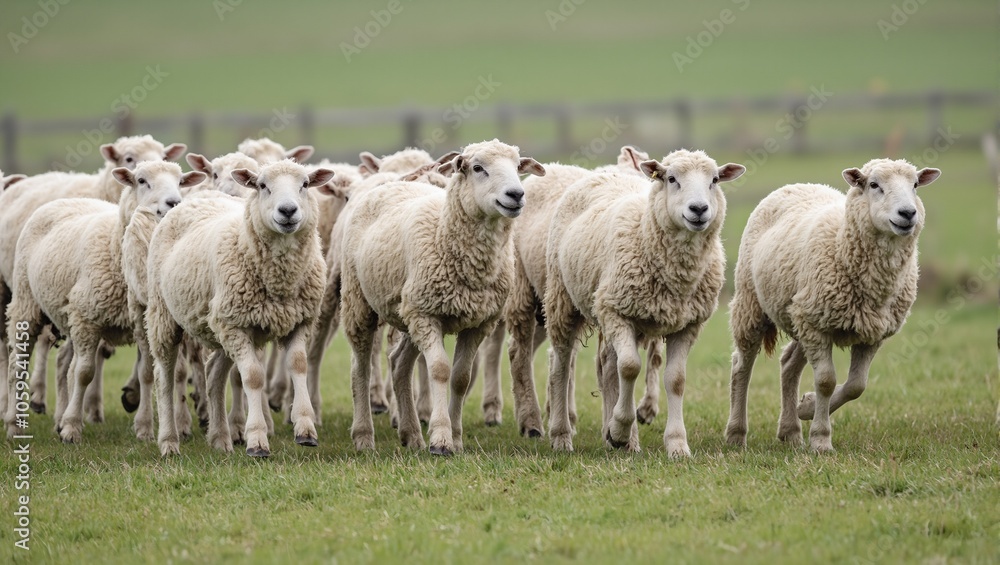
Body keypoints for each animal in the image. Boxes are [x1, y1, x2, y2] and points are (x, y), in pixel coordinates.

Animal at [4, 162, 201, 442]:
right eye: (142, 181)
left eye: (181, 182)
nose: (173, 202)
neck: (115, 247)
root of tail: (64, 200)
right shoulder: (87, 319)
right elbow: (85, 372)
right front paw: (72, 428)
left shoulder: (141, 322)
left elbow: (146, 372)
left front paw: (144, 428)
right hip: (26, 301)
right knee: (18, 365)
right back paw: (14, 424)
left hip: (69, 316)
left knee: (64, 365)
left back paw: (58, 418)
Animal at [145, 159, 333, 456]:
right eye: (262, 186)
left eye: (304, 184)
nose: (288, 211)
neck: (280, 280)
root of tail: (195, 198)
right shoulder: (236, 325)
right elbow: (253, 377)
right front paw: (256, 439)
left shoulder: (299, 321)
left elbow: (298, 365)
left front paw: (305, 428)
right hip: (165, 314)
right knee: (164, 376)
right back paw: (169, 442)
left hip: (220, 325)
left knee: (213, 374)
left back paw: (220, 439)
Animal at [340, 139, 544, 455]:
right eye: (477, 168)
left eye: (517, 166)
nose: (516, 194)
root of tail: (394, 182)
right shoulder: (428, 316)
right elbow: (438, 370)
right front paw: (441, 438)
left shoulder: (478, 323)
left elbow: (461, 378)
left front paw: (456, 438)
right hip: (360, 301)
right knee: (360, 368)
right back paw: (363, 436)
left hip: (409, 312)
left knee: (399, 364)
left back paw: (411, 434)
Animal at [544, 149, 744, 455]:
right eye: (671, 178)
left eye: (714, 180)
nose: (699, 209)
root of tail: (604, 172)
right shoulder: (615, 310)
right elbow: (630, 367)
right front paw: (620, 428)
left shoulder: (688, 325)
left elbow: (675, 380)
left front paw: (676, 444)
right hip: (562, 298)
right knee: (561, 366)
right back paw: (561, 435)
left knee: (607, 367)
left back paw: (619, 439)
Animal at [725, 159, 941, 453]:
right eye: (874, 185)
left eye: (915, 185)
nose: (907, 213)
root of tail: (798, 183)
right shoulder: (817, 326)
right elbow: (826, 381)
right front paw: (821, 439)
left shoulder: (870, 334)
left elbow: (856, 386)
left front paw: (808, 406)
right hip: (753, 304)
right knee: (742, 366)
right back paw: (736, 434)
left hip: (801, 315)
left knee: (788, 364)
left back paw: (791, 430)